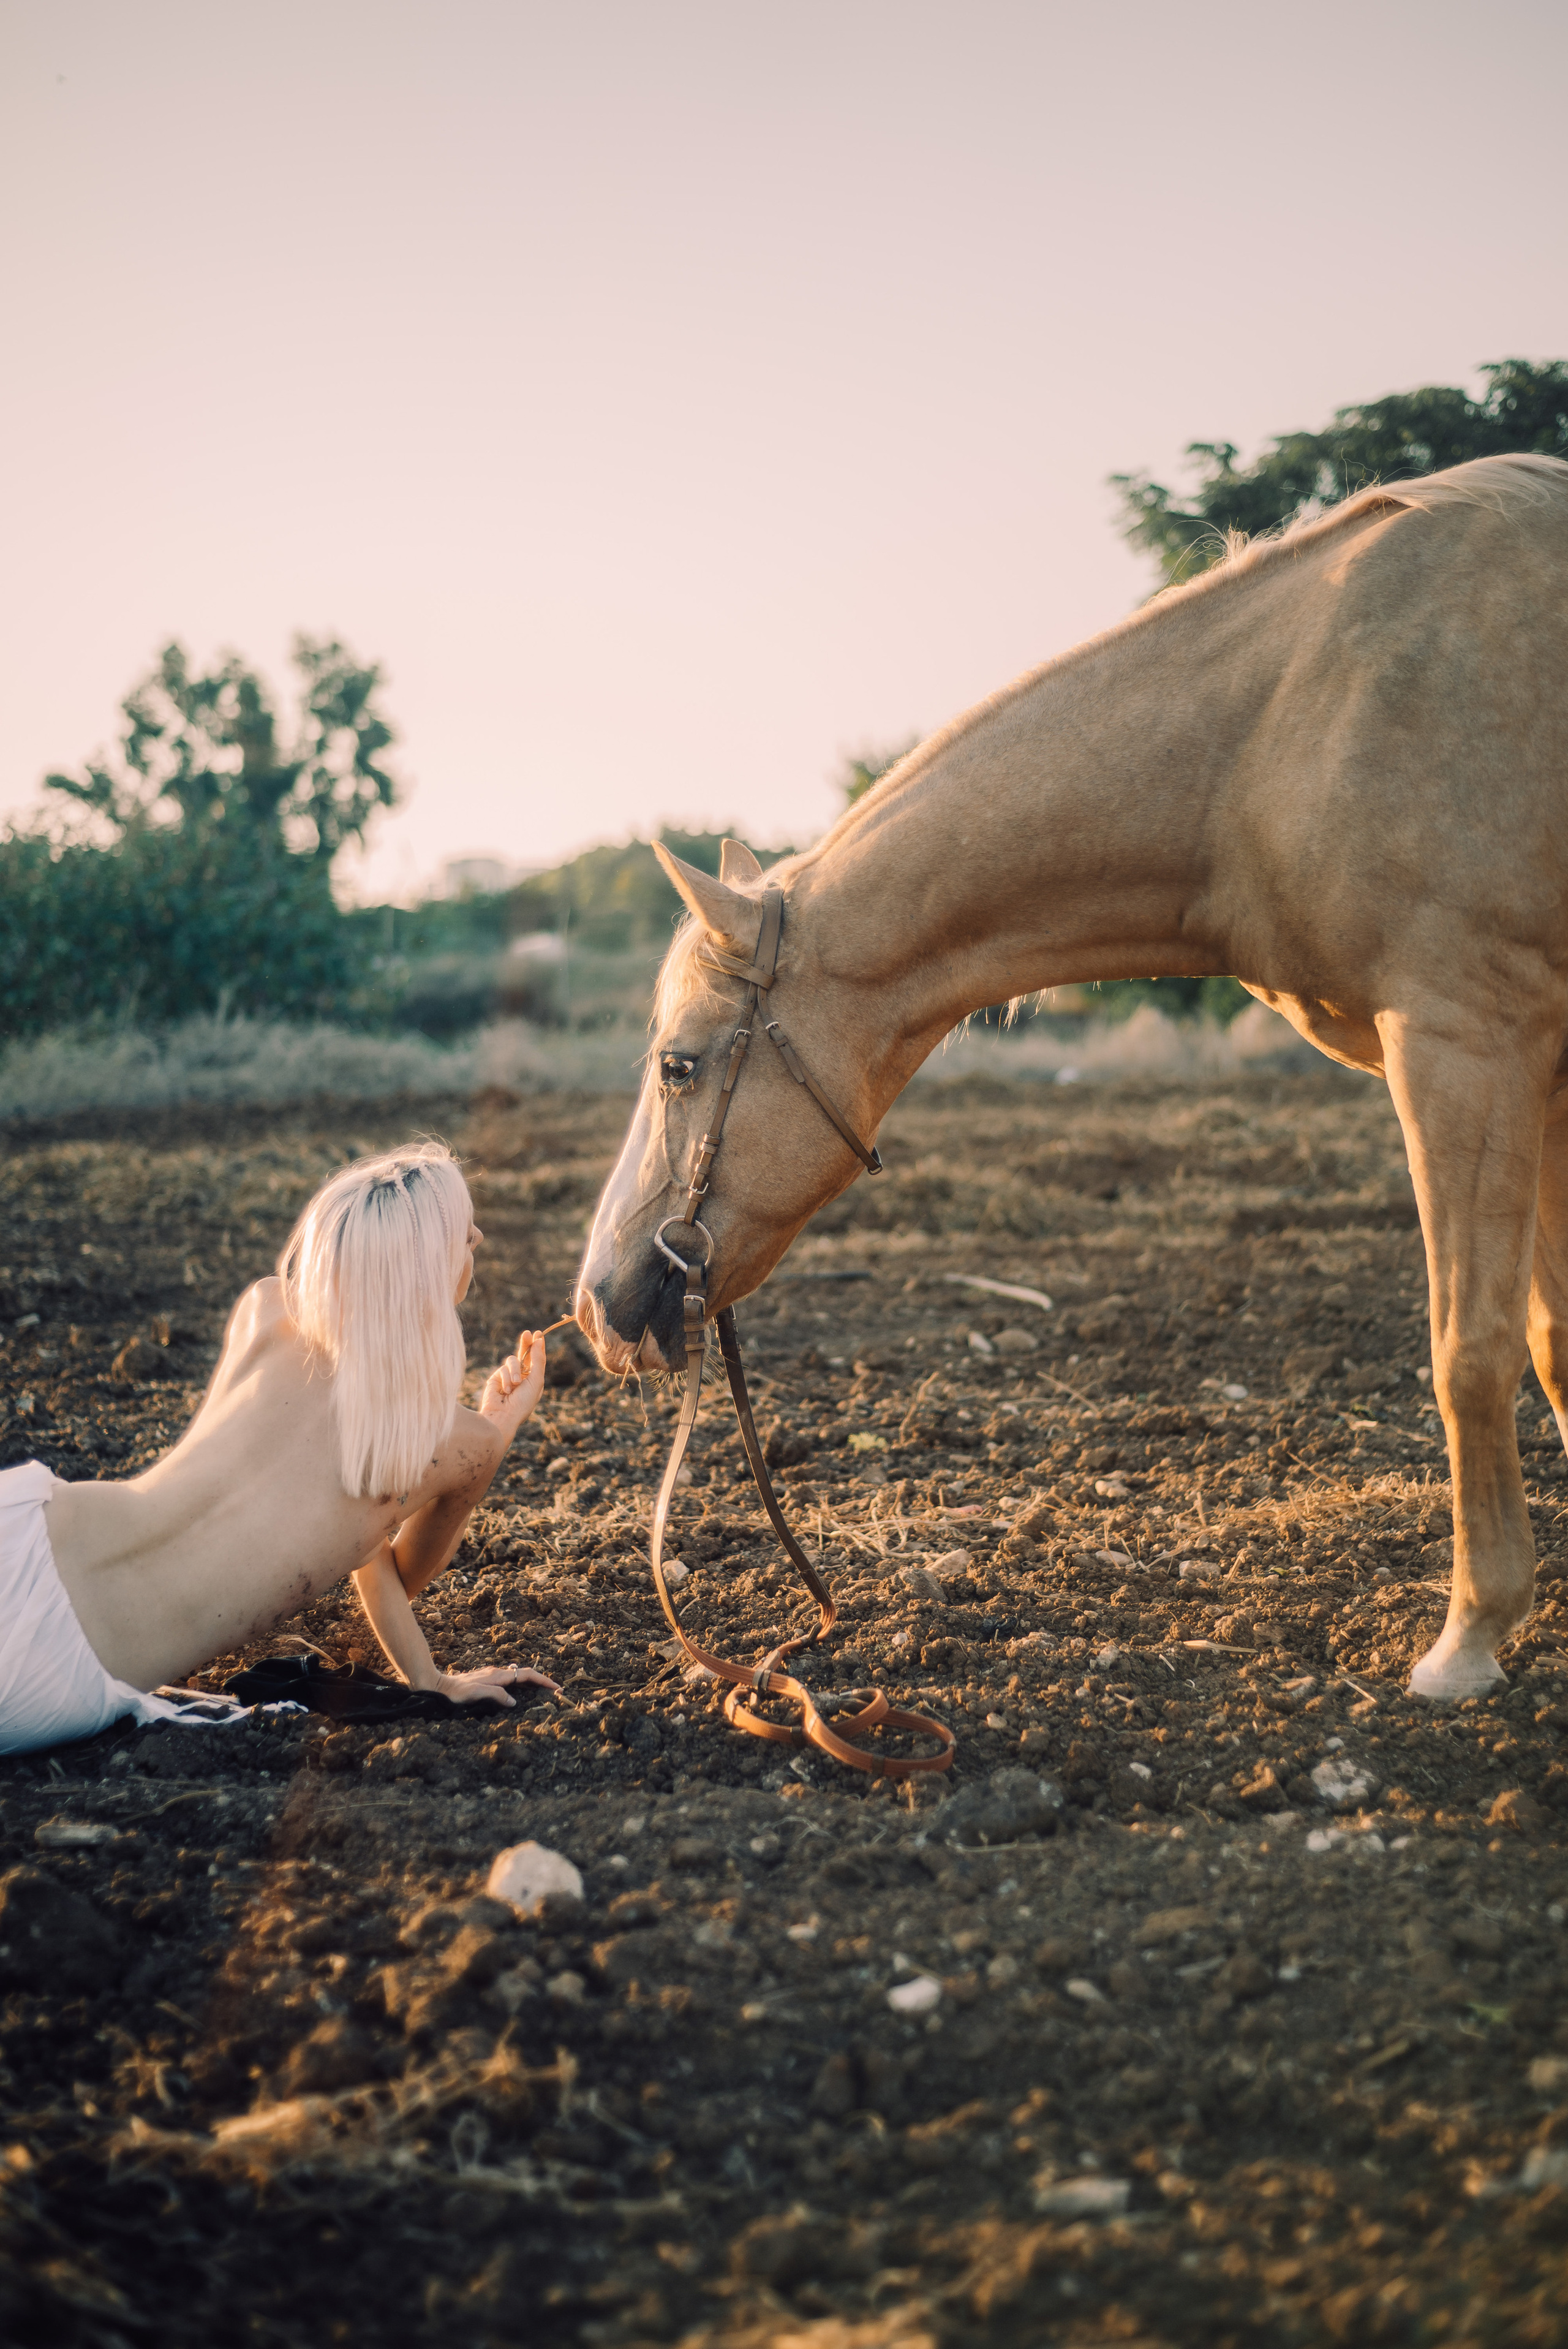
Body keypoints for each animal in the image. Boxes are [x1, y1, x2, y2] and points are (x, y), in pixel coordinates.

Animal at [576, 451, 1568, 1703]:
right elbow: (1554, 1339)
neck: (1277, 729)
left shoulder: (1468, 1044)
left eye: (679, 1064)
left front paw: (1471, 1636)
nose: (596, 1304)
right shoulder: (1541, 1067)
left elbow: (1471, 1348)